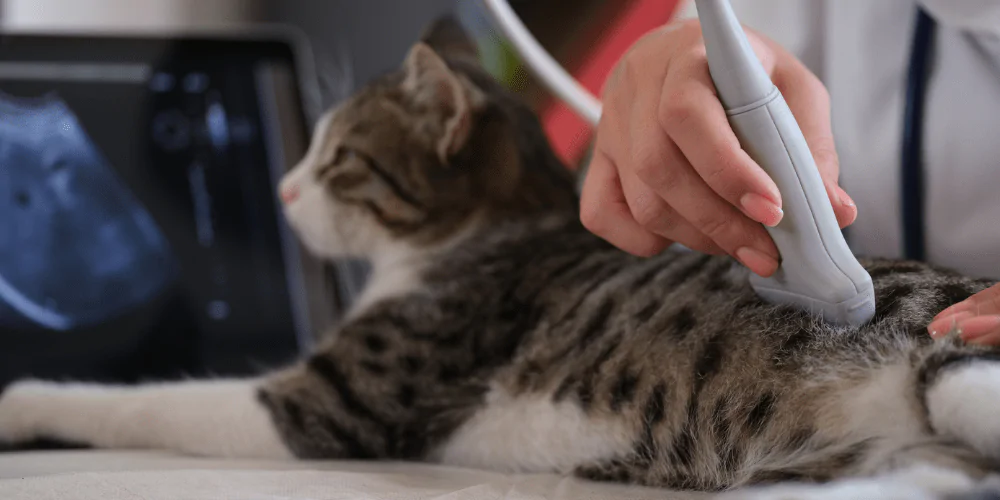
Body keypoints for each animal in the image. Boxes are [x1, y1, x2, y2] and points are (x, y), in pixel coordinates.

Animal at [1, 17, 1000, 498]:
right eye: (309, 151)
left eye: (336, 159)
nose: (281, 190)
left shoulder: (333, 402)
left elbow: (147, 400)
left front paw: (23, 398)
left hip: (955, 365)